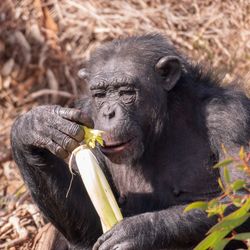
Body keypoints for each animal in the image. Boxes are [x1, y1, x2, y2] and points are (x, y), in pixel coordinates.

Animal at [10, 33, 249, 250]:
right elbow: (91, 227)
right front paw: (35, 127)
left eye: (125, 92)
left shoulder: (231, 117)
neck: (160, 126)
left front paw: (138, 231)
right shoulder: (87, 113)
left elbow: (239, 196)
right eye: (100, 95)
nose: (108, 113)